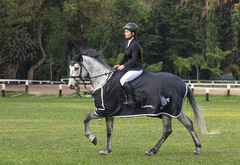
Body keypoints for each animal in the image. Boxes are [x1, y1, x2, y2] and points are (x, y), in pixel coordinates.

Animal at [68, 47, 218, 156]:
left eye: (76, 68)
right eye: (70, 67)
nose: (70, 85)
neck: (103, 80)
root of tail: (183, 83)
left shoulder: (104, 110)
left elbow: (86, 119)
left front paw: (92, 139)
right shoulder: (109, 112)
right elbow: (109, 131)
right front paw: (106, 150)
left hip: (166, 111)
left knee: (167, 130)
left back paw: (151, 151)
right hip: (174, 110)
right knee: (188, 124)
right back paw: (196, 148)